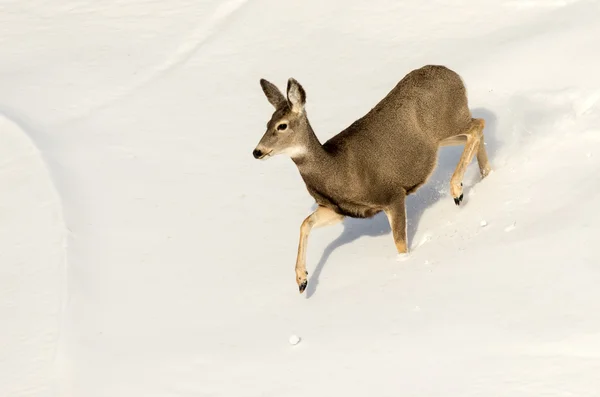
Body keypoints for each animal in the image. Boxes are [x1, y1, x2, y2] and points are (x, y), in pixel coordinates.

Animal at [251, 65, 490, 292]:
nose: (257, 151)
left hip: (449, 121)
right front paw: (302, 280)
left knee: (478, 124)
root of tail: (453, 74)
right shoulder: (340, 210)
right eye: (267, 124)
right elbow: (305, 223)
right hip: (441, 139)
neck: (336, 170)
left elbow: (400, 243)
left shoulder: (392, 194)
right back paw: (485, 174)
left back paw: (457, 190)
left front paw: (404, 263)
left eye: (282, 125)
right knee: (475, 134)